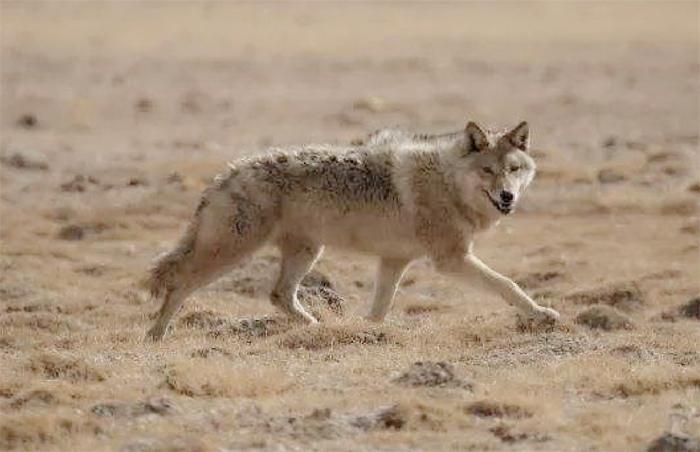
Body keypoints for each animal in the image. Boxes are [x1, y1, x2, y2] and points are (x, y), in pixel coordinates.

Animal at [145, 120, 560, 340]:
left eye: (514, 169)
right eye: (487, 171)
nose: (507, 196)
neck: (448, 182)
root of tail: (226, 173)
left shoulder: (394, 260)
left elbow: (379, 309)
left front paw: (366, 334)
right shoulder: (451, 259)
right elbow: (508, 285)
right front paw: (540, 313)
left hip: (306, 252)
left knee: (279, 295)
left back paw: (314, 325)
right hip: (234, 252)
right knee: (179, 282)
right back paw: (155, 335)